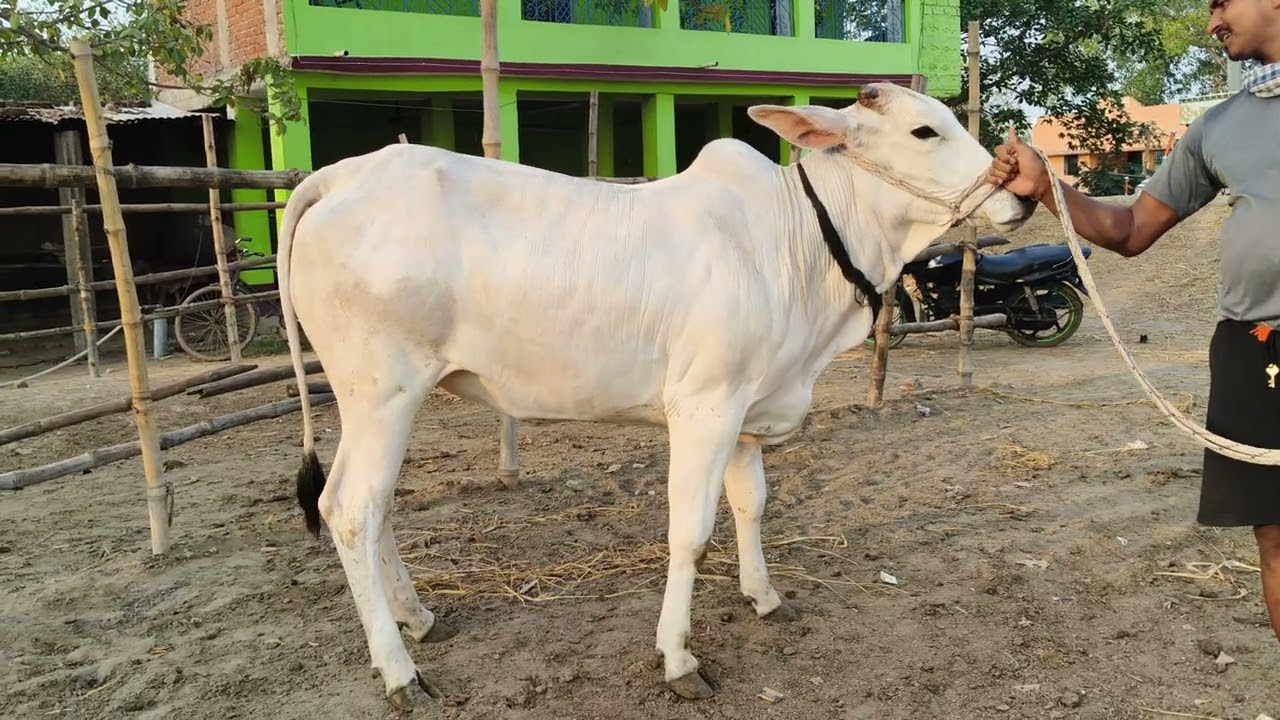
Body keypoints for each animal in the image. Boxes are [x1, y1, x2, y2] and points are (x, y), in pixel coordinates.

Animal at [275, 81, 1035, 709]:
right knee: (349, 509)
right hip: (383, 391)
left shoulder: (748, 411)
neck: (797, 246)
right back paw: (400, 671)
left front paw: (764, 597)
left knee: (376, 510)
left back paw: (419, 618)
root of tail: (341, 174)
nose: (1023, 191)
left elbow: (751, 506)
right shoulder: (704, 406)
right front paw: (678, 658)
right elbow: (691, 531)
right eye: (923, 131)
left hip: (383, 401)